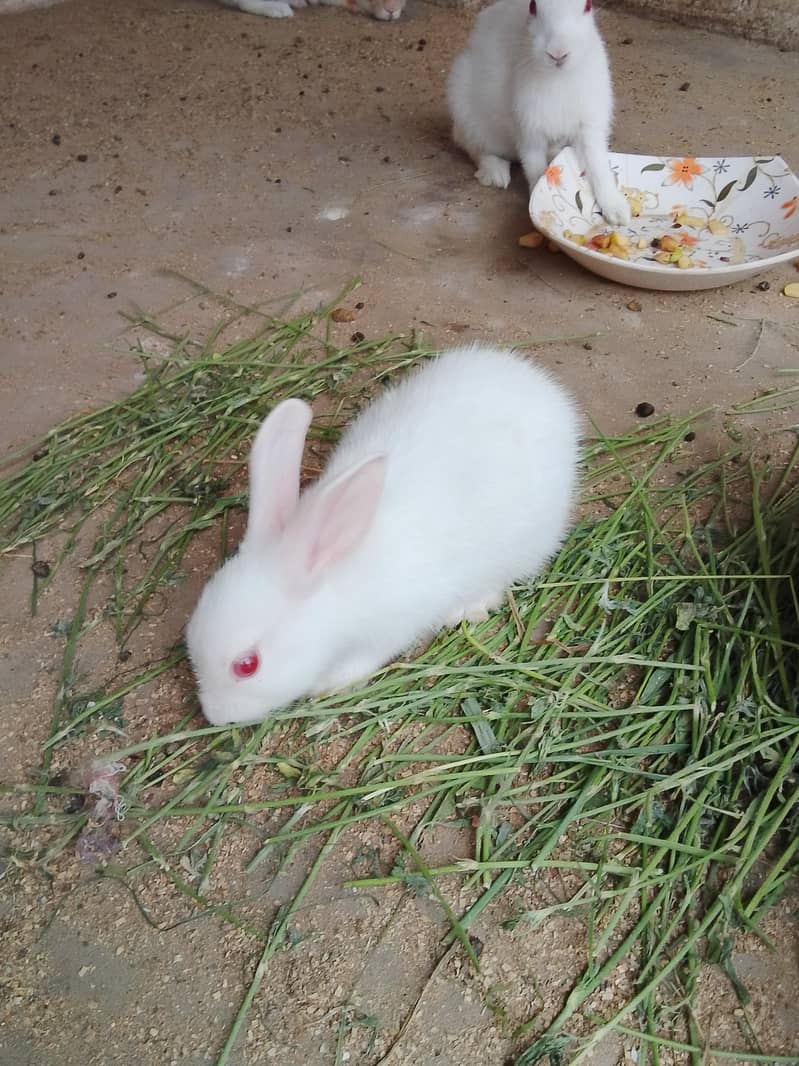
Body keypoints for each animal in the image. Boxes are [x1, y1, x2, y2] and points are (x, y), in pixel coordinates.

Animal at [186, 344, 581, 726]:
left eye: (247, 665)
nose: (215, 715)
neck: (332, 581)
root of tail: (545, 392)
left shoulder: (390, 629)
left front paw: (327, 684)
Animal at [447, 0, 630, 226]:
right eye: (533, 7)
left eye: (587, 6)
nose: (558, 53)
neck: (558, 76)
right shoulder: (529, 129)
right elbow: (535, 166)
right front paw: (541, 202)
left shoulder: (589, 126)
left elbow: (598, 165)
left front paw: (617, 212)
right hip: (467, 111)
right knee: (475, 149)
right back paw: (496, 174)